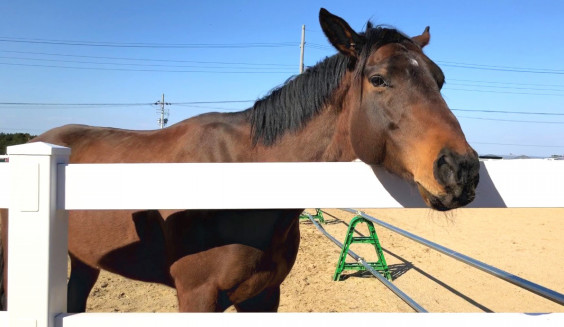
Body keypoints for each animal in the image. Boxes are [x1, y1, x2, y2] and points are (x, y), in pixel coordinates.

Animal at [1, 8, 480, 312]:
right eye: (379, 79)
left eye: (439, 79)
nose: (462, 169)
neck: (243, 180)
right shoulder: (197, 297)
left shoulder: (264, 296)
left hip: (82, 260)